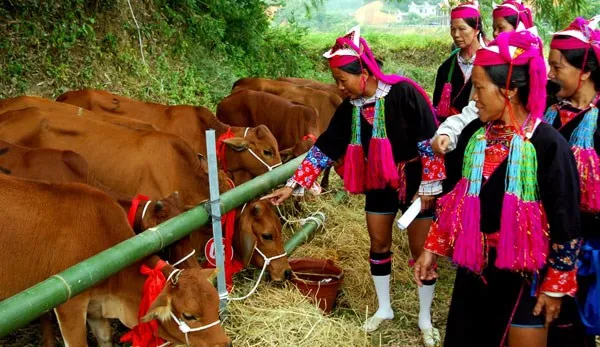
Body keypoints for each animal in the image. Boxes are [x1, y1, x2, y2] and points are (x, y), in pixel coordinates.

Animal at [0, 175, 232, 347]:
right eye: (189, 315)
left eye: (215, 305)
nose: (225, 344)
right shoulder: (70, 307)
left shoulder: (96, 307)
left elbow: (105, 337)